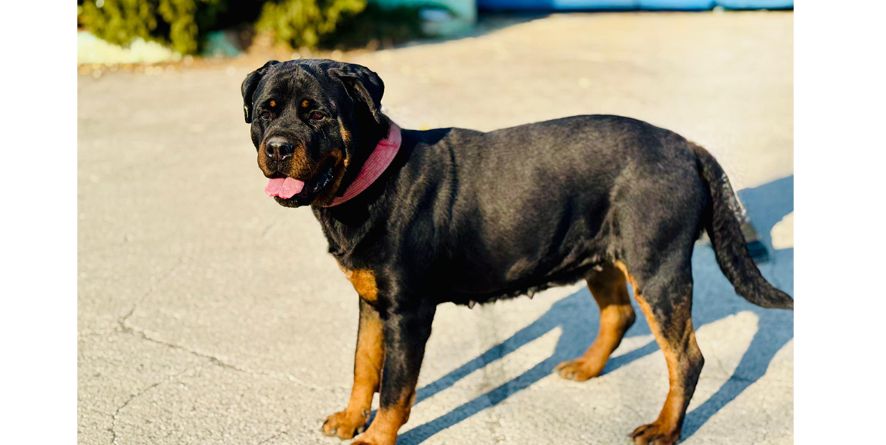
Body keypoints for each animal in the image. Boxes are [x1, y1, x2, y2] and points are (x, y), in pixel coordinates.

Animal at [241, 59, 793, 445]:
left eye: (316, 113)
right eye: (265, 112)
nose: (277, 148)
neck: (371, 181)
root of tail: (688, 146)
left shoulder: (408, 311)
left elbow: (396, 386)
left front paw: (376, 437)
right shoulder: (373, 303)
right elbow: (362, 365)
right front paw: (351, 419)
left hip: (657, 269)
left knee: (686, 357)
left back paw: (663, 428)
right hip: (601, 255)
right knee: (619, 315)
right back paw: (587, 368)